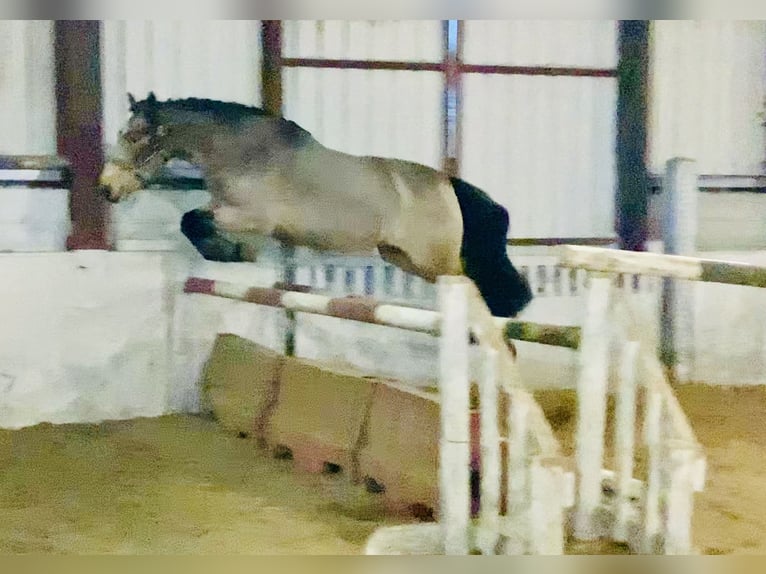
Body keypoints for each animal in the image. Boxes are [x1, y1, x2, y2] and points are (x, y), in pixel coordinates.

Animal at [98, 92, 533, 318]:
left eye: (134, 136)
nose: (106, 188)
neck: (242, 152)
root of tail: (448, 184)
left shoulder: (253, 218)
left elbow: (193, 220)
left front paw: (227, 253)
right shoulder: (230, 211)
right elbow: (195, 221)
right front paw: (230, 254)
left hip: (435, 261)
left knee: (477, 284)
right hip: (404, 258)